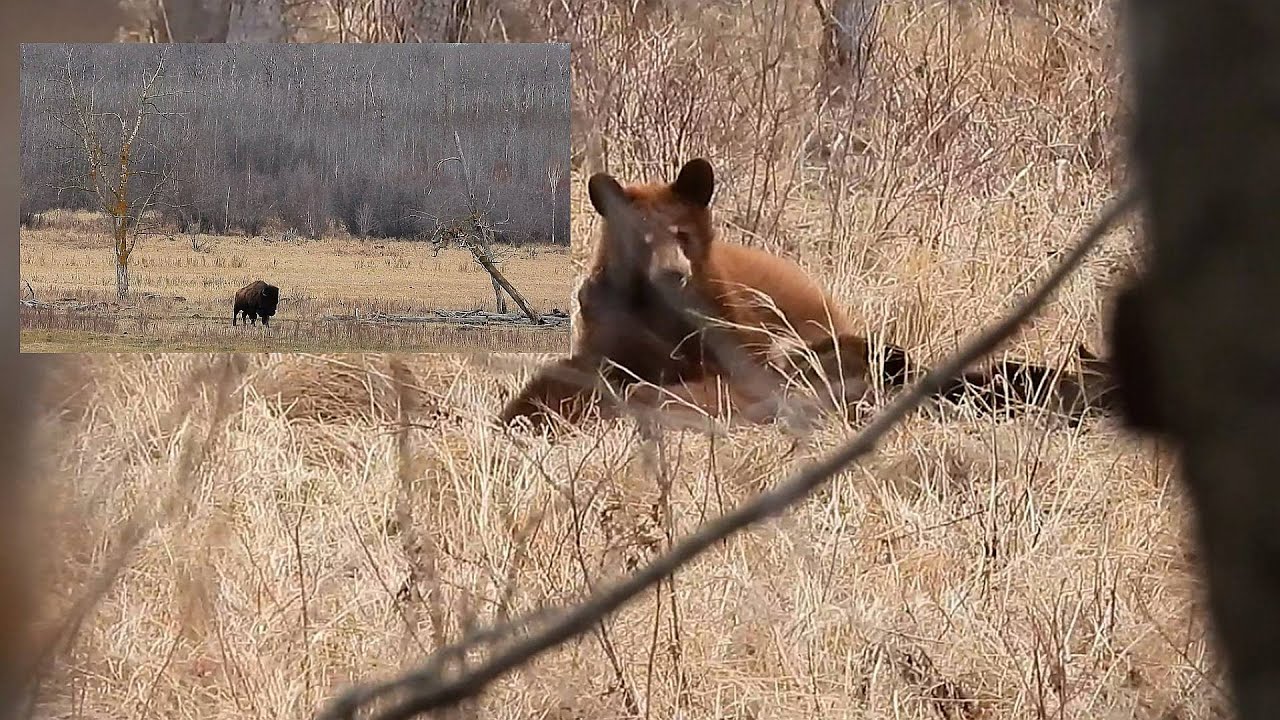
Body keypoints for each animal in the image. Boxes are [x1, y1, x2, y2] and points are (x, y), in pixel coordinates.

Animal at [499, 158, 915, 432]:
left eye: (681, 232)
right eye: (642, 238)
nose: (674, 272)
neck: (659, 309)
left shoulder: (721, 324)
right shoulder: (608, 320)